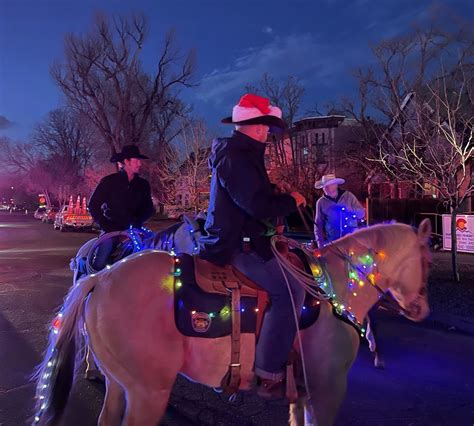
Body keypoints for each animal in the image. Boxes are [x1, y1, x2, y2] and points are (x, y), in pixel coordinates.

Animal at [33, 220, 432, 426]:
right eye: (426, 259)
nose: (421, 308)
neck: (335, 284)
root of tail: (101, 277)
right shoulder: (327, 388)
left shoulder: (303, 392)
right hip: (148, 393)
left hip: (122, 385)